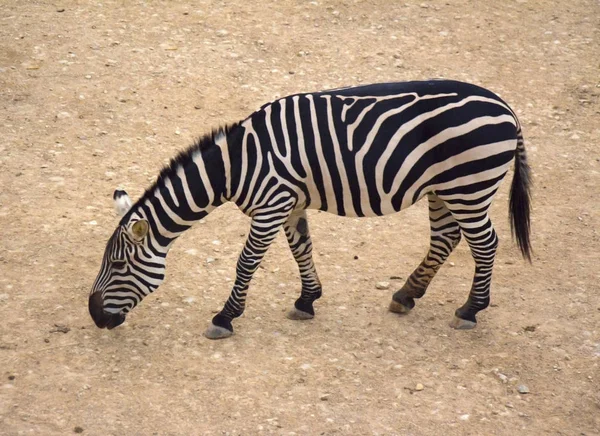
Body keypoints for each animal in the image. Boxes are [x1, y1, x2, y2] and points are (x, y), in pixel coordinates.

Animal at [88, 78, 528, 338]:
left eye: (119, 265)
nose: (94, 316)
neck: (238, 164)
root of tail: (506, 107)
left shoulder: (271, 204)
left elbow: (246, 263)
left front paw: (225, 317)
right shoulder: (290, 203)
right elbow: (301, 248)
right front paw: (307, 300)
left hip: (468, 186)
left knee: (485, 244)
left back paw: (470, 310)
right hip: (445, 188)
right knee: (445, 238)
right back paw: (406, 295)